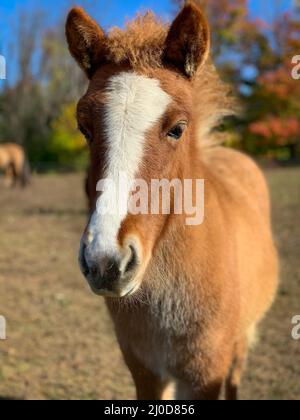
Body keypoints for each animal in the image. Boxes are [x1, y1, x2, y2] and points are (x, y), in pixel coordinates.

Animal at [66, 0, 278, 400]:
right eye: (84, 128)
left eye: (177, 128)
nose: (106, 262)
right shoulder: (145, 371)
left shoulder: (206, 374)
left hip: (241, 340)